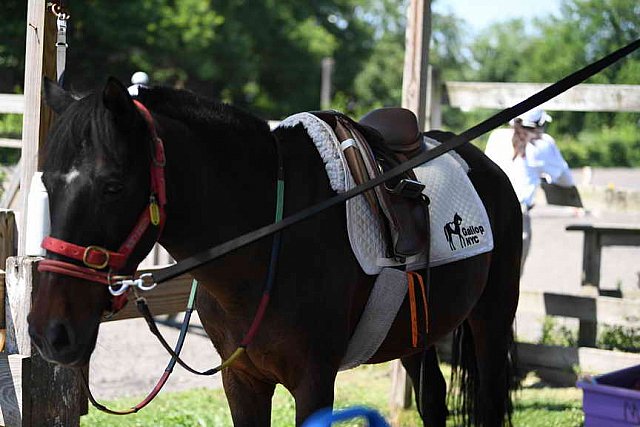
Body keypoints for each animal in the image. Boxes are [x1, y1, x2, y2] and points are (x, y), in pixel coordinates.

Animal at [27, 78, 524, 426]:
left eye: (112, 186)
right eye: (47, 182)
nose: (50, 332)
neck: (268, 241)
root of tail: (485, 165)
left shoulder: (314, 384)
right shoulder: (242, 382)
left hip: (492, 319)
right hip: (415, 332)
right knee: (433, 398)